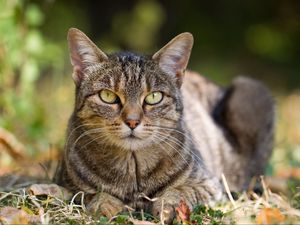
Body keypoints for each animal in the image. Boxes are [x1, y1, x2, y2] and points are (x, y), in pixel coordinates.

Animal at [54, 28, 274, 223]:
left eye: (154, 97)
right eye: (108, 96)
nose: (132, 121)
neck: (133, 170)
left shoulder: (209, 185)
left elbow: (181, 191)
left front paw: (169, 206)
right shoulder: (66, 184)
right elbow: (89, 194)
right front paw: (105, 204)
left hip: (249, 90)